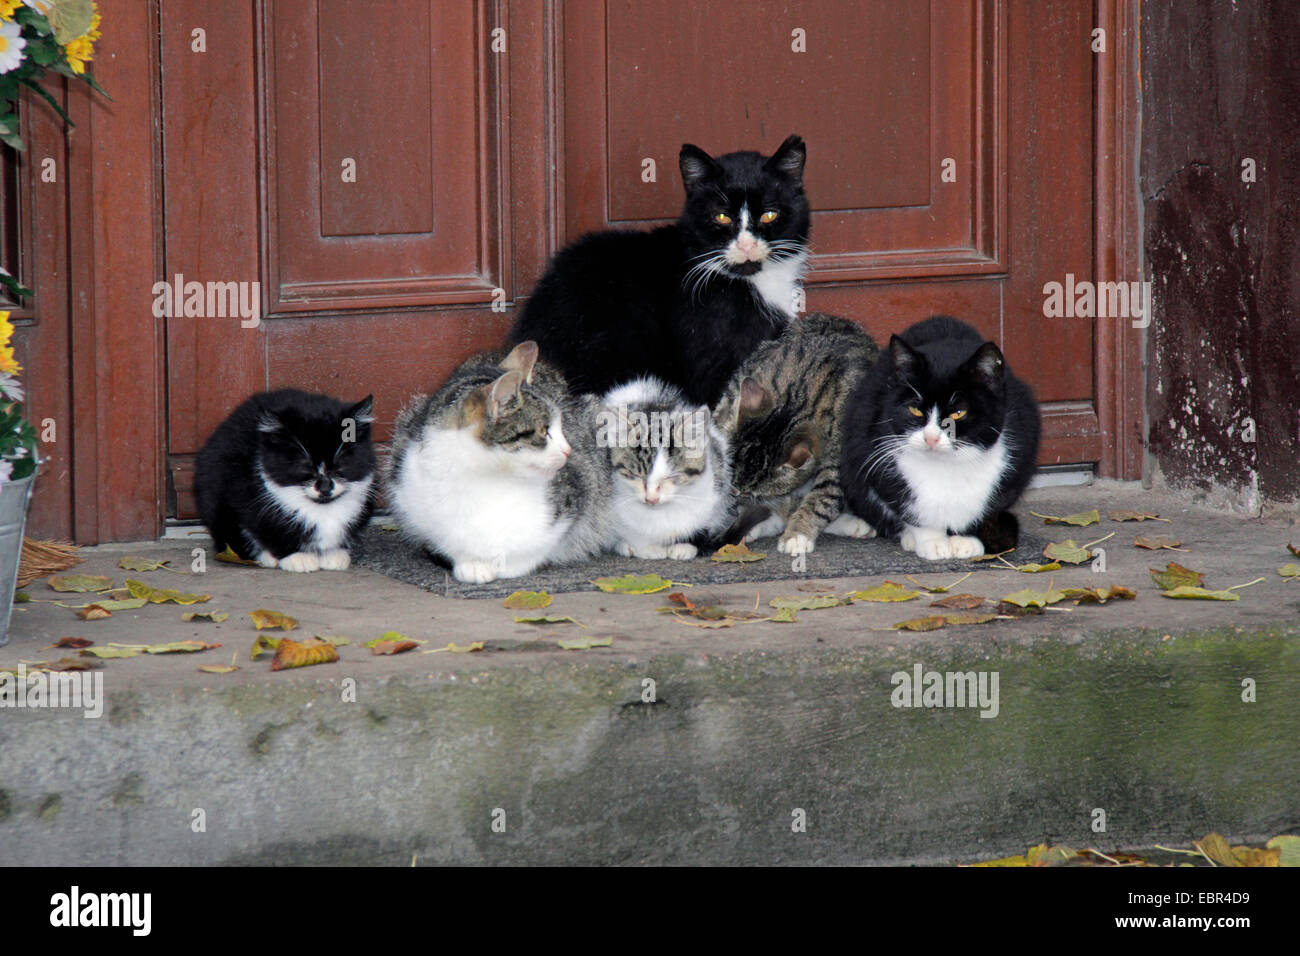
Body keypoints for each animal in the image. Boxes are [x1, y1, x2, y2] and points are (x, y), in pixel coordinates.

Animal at [192, 392, 379, 572]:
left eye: (340, 462)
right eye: (304, 465)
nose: (325, 486)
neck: (322, 508)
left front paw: (334, 553)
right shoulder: (241, 488)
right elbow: (264, 527)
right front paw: (297, 556)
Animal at [384, 343, 613, 582]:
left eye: (564, 426)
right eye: (544, 431)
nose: (568, 450)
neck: (487, 479)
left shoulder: (578, 490)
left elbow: (536, 543)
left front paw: (511, 566)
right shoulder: (408, 496)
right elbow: (449, 541)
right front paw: (472, 564)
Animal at [595, 377, 733, 561]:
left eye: (670, 477)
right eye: (636, 475)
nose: (651, 499)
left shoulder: (717, 481)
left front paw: (685, 546)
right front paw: (647, 547)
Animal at [837, 316, 1040, 561]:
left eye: (958, 413)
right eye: (915, 409)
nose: (931, 437)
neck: (946, 467)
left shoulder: (1016, 465)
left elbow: (985, 508)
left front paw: (966, 540)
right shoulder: (877, 456)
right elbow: (911, 507)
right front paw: (932, 541)